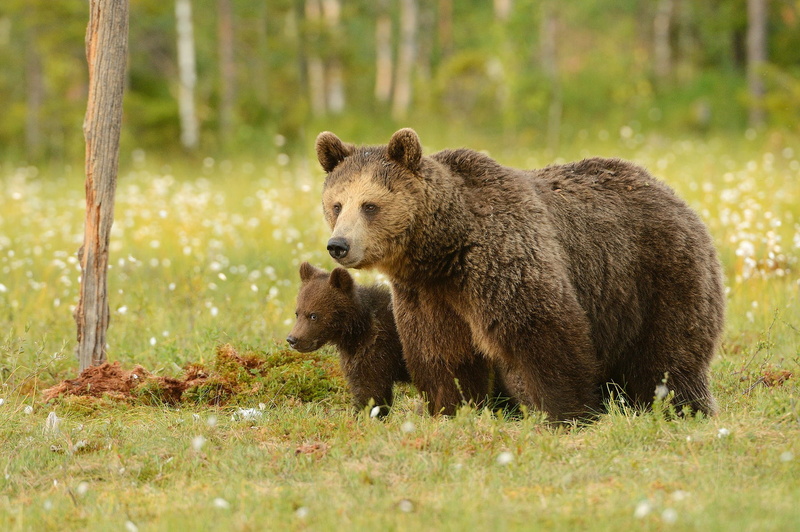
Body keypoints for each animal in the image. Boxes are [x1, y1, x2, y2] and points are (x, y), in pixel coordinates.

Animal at [315, 128, 725, 422]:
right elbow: (443, 353)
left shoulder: (504, 260)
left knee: (669, 354)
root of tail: (671, 192)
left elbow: (542, 333)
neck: (445, 250)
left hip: (655, 272)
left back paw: (682, 406)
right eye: (336, 204)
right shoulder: (428, 295)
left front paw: (566, 412)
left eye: (370, 205)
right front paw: (450, 409)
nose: (338, 245)